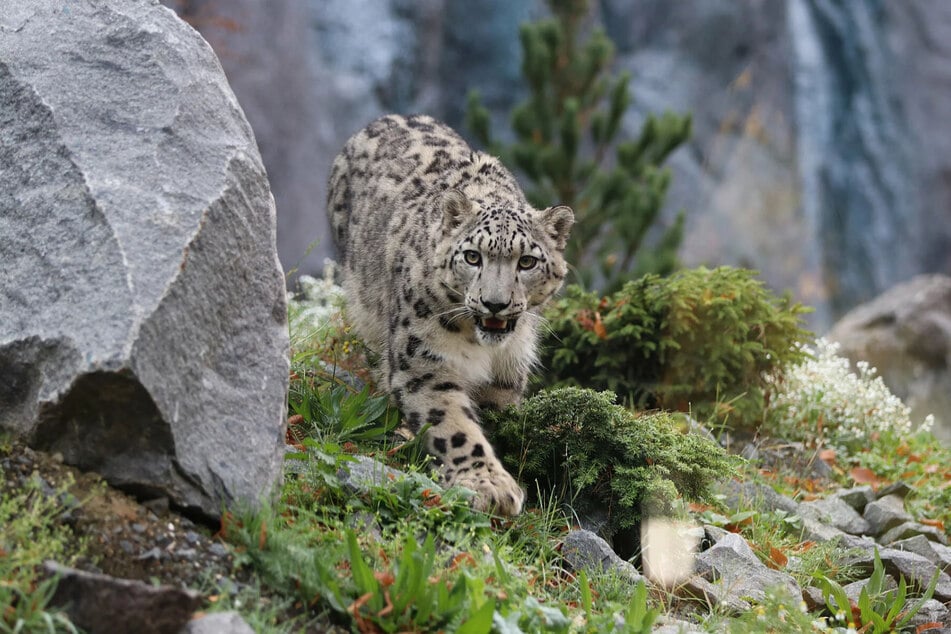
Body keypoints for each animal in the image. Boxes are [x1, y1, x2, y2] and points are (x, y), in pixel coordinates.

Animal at [330, 112, 572, 512]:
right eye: (473, 256)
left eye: (527, 261)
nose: (495, 303)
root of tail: (389, 116)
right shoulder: (423, 362)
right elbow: (454, 425)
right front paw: (490, 486)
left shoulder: (506, 375)